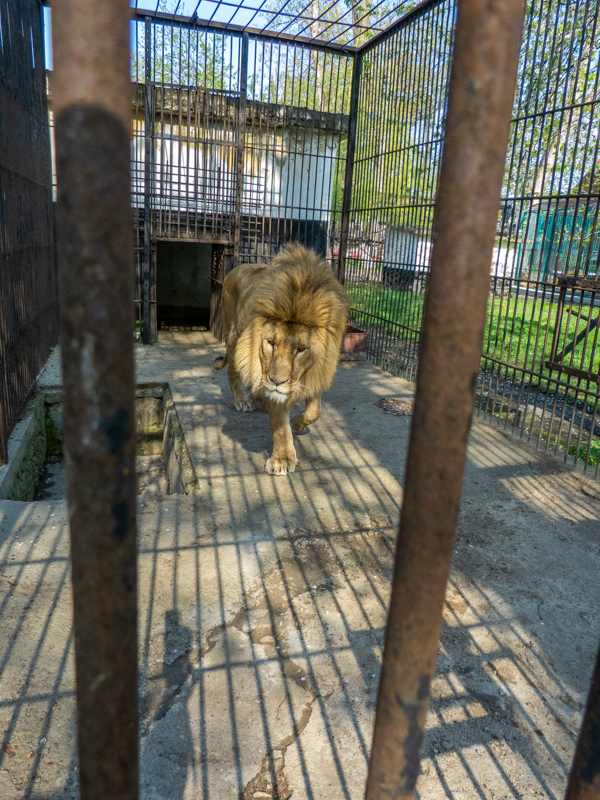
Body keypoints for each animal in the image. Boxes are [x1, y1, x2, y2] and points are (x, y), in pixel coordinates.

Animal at [214, 243, 348, 475]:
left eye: (301, 349)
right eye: (271, 343)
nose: (277, 381)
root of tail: (236, 268)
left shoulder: (316, 371)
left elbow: (315, 411)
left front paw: (297, 423)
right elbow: (280, 427)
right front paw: (282, 459)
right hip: (234, 336)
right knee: (233, 371)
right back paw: (243, 400)